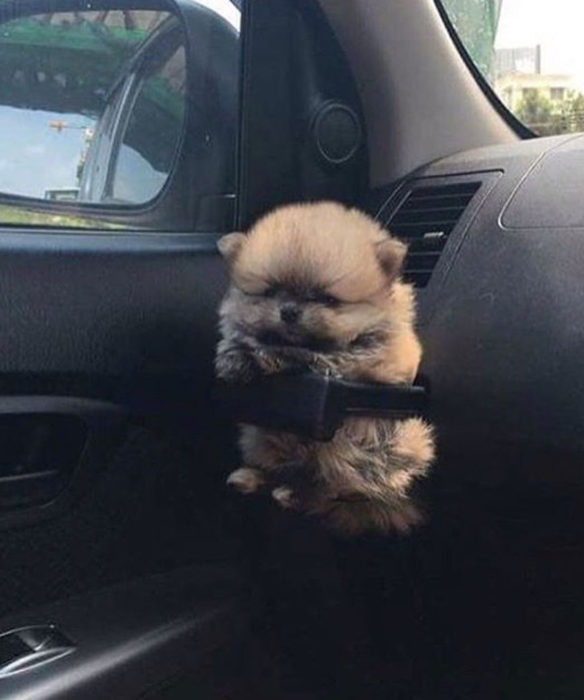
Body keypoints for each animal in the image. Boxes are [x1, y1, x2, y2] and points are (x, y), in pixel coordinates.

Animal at [214, 202, 434, 536]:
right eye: (271, 292)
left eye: (327, 299)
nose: (289, 311)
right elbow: (242, 338)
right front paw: (235, 356)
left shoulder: (364, 358)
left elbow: (310, 354)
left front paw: (268, 354)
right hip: (262, 441)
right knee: (284, 467)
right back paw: (255, 478)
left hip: (356, 454)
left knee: (336, 487)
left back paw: (295, 494)